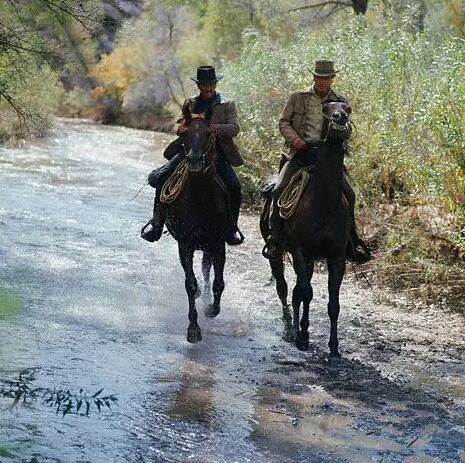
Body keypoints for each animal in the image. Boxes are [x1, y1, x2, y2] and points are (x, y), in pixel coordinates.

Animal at [163, 111, 230, 344]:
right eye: (183, 133)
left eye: (209, 133)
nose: (194, 161)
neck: (200, 199)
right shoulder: (185, 245)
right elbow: (190, 284)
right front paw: (193, 329)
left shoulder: (218, 244)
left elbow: (219, 282)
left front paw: (212, 309)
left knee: (207, 270)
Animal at [260, 102, 352, 362]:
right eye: (328, 108)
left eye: (348, 108)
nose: (340, 119)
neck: (324, 204)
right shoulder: (300, 251)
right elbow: (305, 292)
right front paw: (301, 337)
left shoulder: (336, 257)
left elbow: (332, 304)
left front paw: (334, 349)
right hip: (277, 253)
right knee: (284, 287)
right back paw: (290, 329)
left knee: (297, 290)